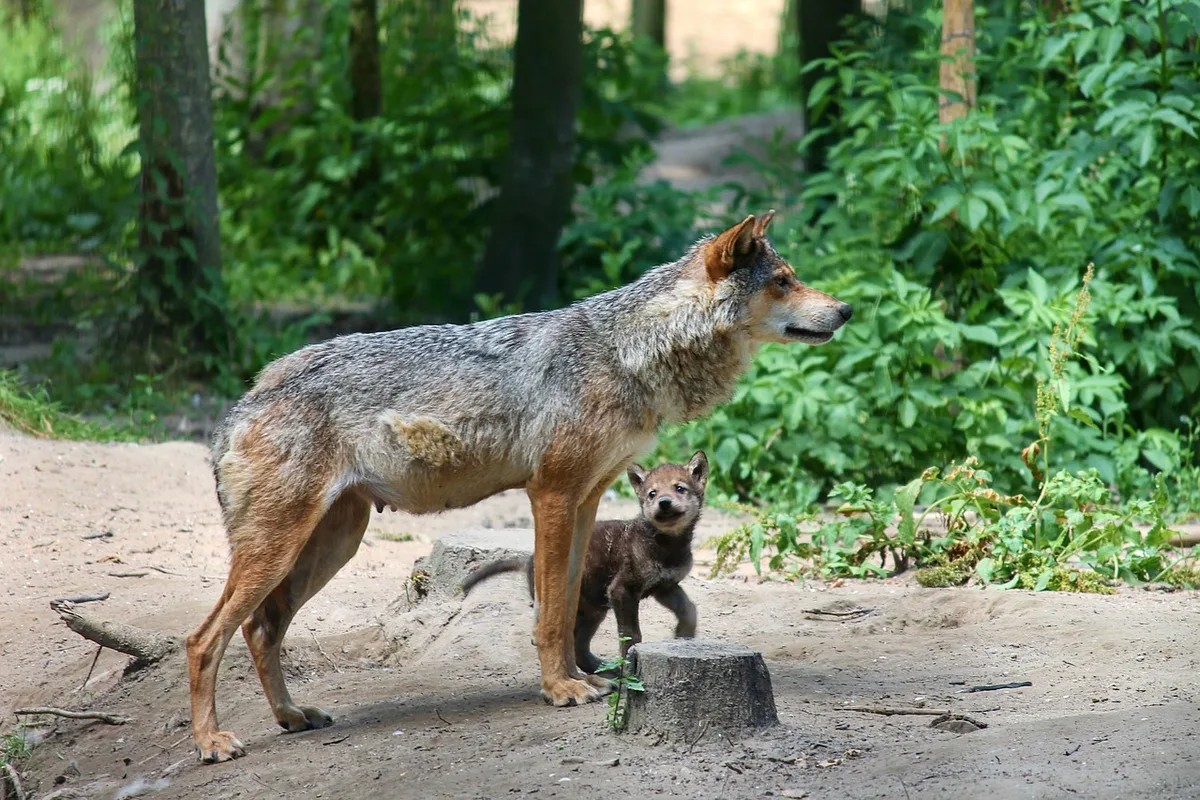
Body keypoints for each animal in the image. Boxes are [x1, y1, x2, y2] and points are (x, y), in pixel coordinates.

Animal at [461, 451, 709, 673]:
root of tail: (528, 560)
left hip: (593, 611)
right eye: (652, 493)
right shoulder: (622, 589)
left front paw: (683, 636)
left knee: (579, 647)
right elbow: (631, 633)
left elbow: (689, 608)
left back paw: (605, 670)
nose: (664, 503)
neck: (668, 545)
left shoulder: (665, 586)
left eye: (679, 488)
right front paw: (629, 666)